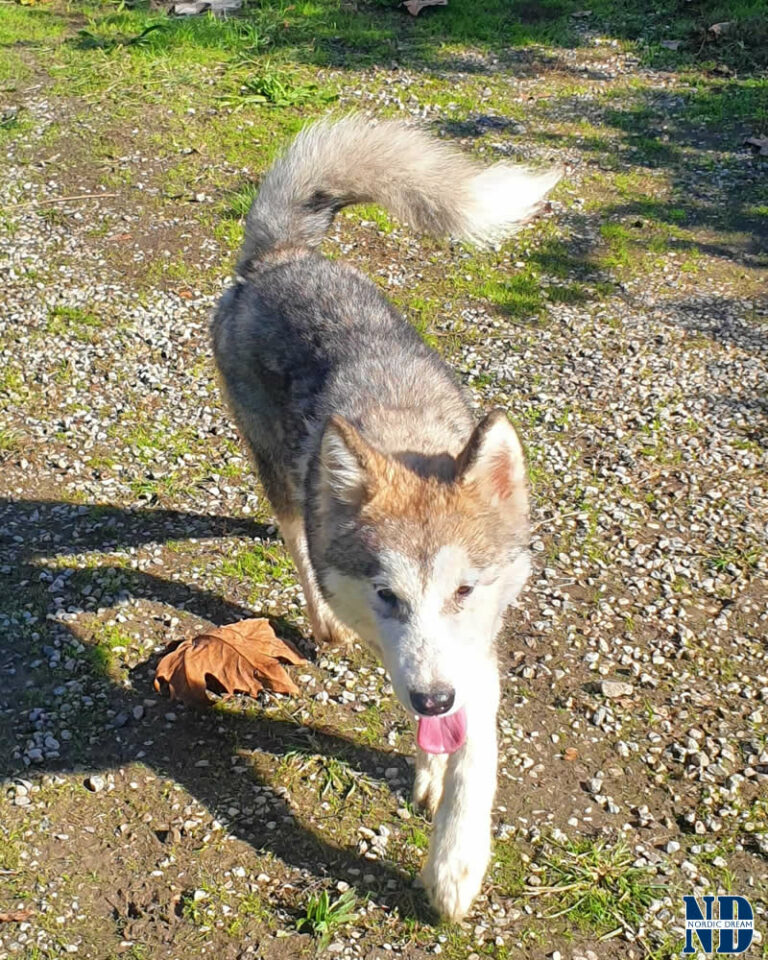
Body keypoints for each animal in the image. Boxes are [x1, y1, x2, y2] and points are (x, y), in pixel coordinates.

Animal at [213, 116, 560, 920]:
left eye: (464, 591)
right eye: (386, 595)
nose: (434, 696)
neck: (408, 432)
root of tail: (277, 259)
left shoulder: (476, 651)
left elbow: (475, 753)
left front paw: (455, 847)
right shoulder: (394, 640)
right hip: (277, 474)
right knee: (295, 540)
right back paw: (318, 619)